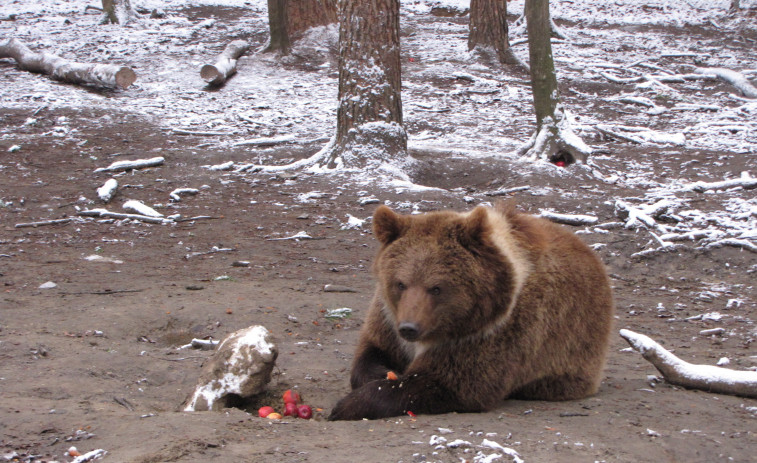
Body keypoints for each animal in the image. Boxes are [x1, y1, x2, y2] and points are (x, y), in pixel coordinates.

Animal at [330, 203, 616, 420]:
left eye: (436, 288)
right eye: (400, 283)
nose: (410, 328)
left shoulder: (499, 330)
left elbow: (454, 383)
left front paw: (347, 406)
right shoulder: (388, 316)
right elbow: (372, 350)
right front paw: (380, 374)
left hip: (573, 353)